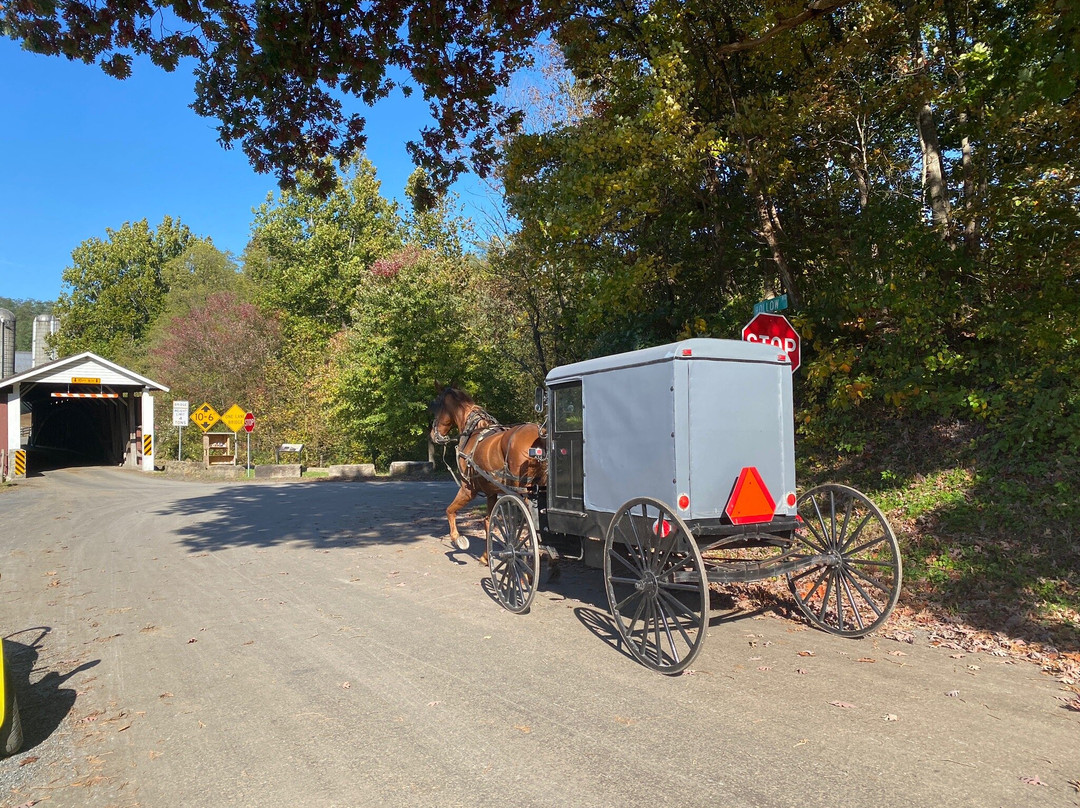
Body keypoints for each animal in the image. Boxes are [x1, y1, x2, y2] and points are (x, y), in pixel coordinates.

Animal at [429, 384, 548, 548]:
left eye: (437, 407)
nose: (432, 435)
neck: (473, 431)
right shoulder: (491, 492)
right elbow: (488, 521)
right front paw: (486, 553)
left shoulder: (468, 489)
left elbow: (449, 510)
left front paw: (457, 538)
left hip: (522, 492)